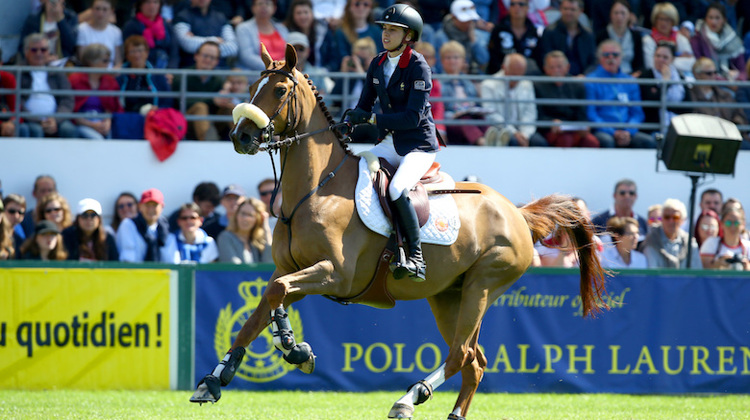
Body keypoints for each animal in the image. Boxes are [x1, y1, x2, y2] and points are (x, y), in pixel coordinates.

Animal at [192, 44, 612, 418]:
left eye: (279, 91)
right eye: (252, 88)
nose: (240, 137)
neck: (315, 189)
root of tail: (517, 213)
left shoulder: (335, 274)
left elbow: (276, 295)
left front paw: (295, 347)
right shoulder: (292, 269)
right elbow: (258, 312)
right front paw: (216, 379)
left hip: (483, 285)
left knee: (461, 353)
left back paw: (408, 398)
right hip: (448, 296)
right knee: (474, 362)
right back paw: (449, 413)